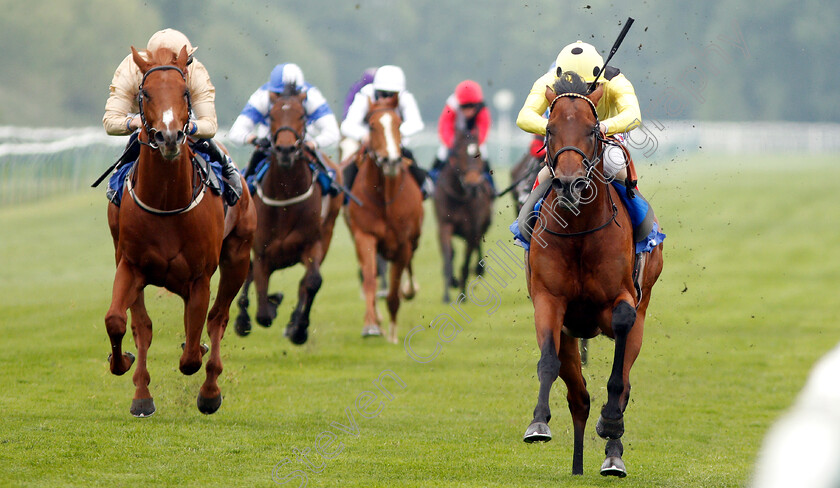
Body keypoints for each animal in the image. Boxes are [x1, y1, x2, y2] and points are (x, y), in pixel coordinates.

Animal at [105, 47, 256, 418]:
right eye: (145, 93)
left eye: (185, 92)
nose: (170, 136)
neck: (166, 200)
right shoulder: (130, 266)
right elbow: (122, 322)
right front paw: (128, 370)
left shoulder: (200, 276)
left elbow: (190, 355)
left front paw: (199, 356)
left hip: (238, 257)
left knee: (218, 318)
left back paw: (210, 391)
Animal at [233, 86, 342, 344]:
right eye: (271, 116)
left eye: (302, 115)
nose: (285, 150)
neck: (285, 196)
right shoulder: (262, 252)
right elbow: (262, 310)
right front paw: (265, 307)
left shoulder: (312, 244)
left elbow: (312, 282)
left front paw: (298, 328)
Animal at [342, 95, 424, 344]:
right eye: (371, 125)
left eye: (398, 123)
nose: (391, 161)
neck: (385, 199)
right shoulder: (365, 236)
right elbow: (370, 280)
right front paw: (371, 324)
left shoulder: (403, 244)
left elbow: (394, 292)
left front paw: (393, 334)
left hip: (414, 240)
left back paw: (410, 289)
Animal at [434, 127, 492, 304]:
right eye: (459, 154)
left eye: (479, 153)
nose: (473, 185)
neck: (459, 194)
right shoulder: (445, 225)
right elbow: (448, 258)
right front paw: (447, 292)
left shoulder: (471, 230)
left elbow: (465, 265)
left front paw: (462, 295)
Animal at [520, 72, 664, 476]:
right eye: (550, 129)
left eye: (591, 129)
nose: (570, 184)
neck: (579, 228)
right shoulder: (549, 300)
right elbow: (548, 362)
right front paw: (538, 423)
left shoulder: (621, 301)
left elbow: (620, 365)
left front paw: (611, 423)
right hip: (570, 335)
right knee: (579, 397)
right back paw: (577, 464)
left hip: (643, 309)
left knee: (623, 382)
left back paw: (612, 453)